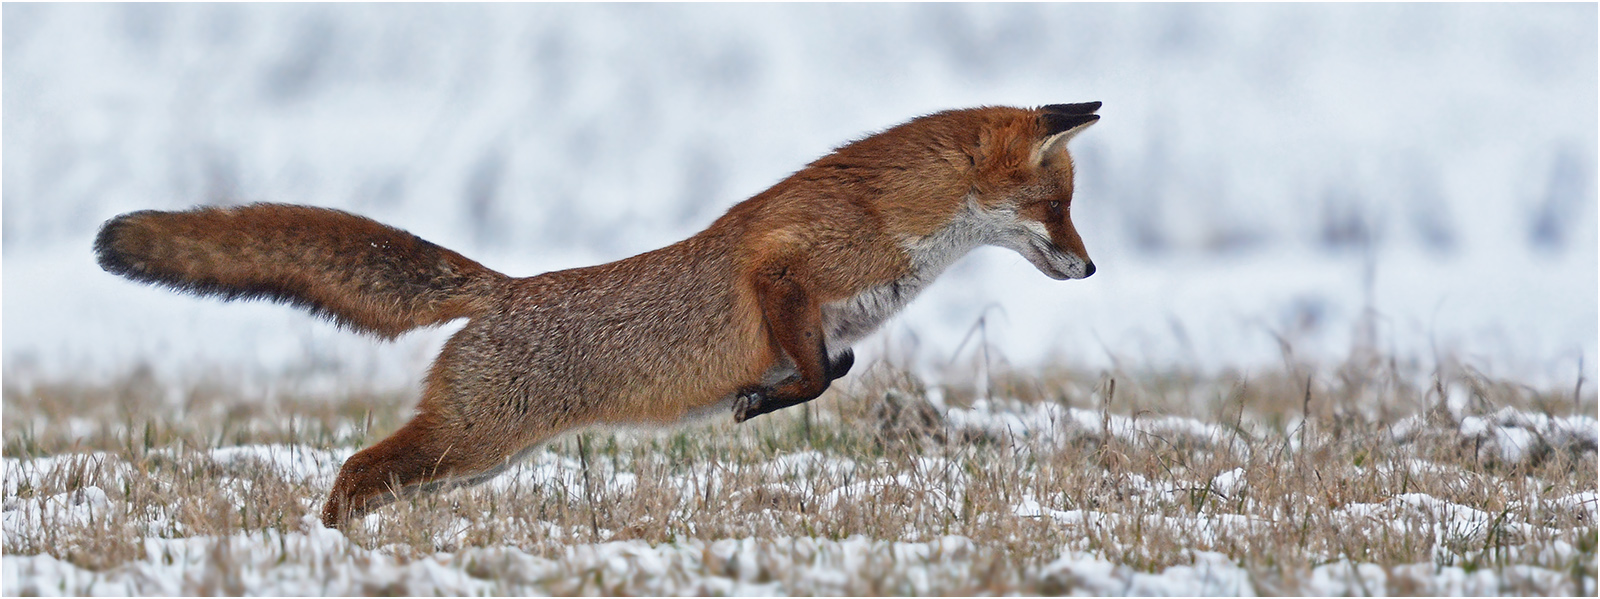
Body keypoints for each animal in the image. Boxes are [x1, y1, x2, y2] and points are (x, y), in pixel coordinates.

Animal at [93, 104, 1107, 528]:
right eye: (1057, 205)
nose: (1091, 266)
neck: (896, 219)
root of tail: (501, 286)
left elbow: (828, 369)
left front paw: (774, 392)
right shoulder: (783, 268)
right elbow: (816, 372)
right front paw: (758, 400)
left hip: (472, 462)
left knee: (374, 477)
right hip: (468, 443)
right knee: (352, 466)